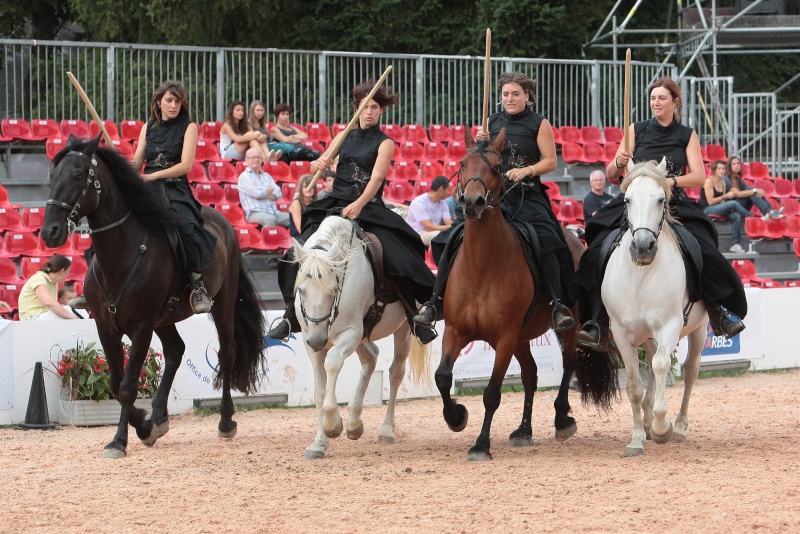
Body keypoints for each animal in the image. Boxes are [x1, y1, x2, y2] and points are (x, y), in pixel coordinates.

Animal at [41, 138, 266, 460]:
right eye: (52, 176)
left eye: (77, 175)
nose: (50, 232)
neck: (122, 254)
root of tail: (223, 223)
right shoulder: (106, 327)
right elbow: (115, 383)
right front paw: (145, 426)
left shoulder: (141, 327)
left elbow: (126, 386)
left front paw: (120, 441)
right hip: (165, 318)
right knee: (175, 351)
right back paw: (159, 416)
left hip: (221, 307)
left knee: (226, 354)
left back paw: (225, 421)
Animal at [294, 217, 432, 460]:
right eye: (301, 290)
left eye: (333, 290)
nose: (319, 340)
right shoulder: (309, 340)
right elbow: (320, 391)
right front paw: (319, 443)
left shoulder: (351, 333)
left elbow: (333, 364)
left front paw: (333, 425)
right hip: (359, 338)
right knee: (371, 358)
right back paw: (354, 423)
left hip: (402, 329)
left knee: (395, 373)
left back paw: (386, 430)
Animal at [438, 132, 612, 462]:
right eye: (463, 163)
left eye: (496, 167)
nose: (473, 202)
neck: (481, 265)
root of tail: (576, 238)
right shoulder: (455, 332)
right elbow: (442, 376)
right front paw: (456, 417)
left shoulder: (505, 338)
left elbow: (492, 393)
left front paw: (480, 445)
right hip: (521, 338)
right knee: (531, 375)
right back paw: (524, 431)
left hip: (566, 327)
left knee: (568, 363)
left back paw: (562, 419)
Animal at [600, 158, 708, 456]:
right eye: (627, 199)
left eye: (661, 199)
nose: (643, 247)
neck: (640, 277)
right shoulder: (621, 333)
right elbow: (634, 385)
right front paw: (637, 438)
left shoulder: (669, 326)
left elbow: (661, 365)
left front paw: (662, 427)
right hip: (647, 336)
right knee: (650, 366)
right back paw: (648, 422)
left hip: (699, 329)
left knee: (690, 370)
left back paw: (679, 427)